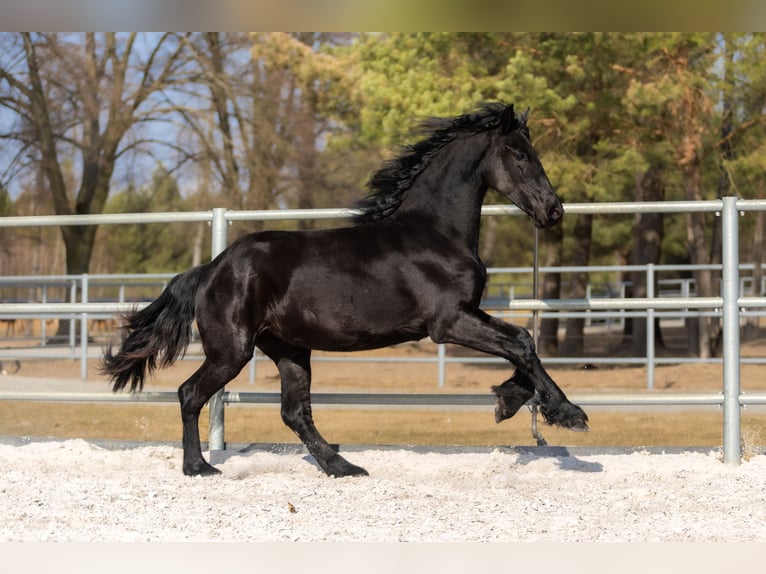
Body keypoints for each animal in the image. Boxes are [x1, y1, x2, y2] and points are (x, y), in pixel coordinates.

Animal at [102, 102, 588, 477]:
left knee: (294, 412)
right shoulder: (449, 322)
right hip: (232, 351)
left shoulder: (464, 318)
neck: (436, 233)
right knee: (191, 394)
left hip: (289, 349)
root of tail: (210, 269)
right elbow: (522, 341)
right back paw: (199, 467)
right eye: (519, 155)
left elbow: (521, 344)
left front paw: (509, 401)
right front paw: (567, 413)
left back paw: (343, 466)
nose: (553, 211)